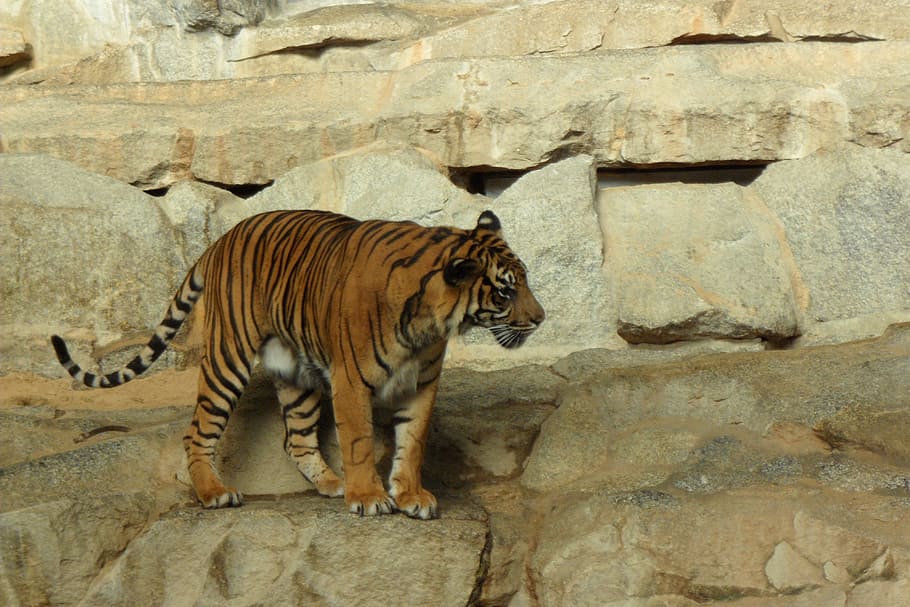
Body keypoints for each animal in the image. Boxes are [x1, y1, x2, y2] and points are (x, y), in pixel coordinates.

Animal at [51, 209, 544, 519]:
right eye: (505, 291)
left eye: (524, 282)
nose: (540, 318)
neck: (430, 321)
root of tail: (219, 239)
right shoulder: (351, 380)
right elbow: (359, 440)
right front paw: (369, 497)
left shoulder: (420, 384)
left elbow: (413, 442)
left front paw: (409, 495)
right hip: (228, 358)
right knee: (198, 432)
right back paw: (215, 493)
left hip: (296, 371)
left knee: (297, 440)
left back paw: (332, 484)